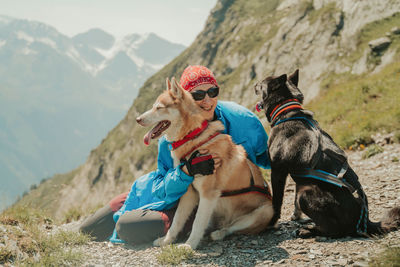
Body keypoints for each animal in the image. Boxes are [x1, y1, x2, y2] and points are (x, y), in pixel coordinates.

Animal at [255, 69, 400, 239]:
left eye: (260, 83)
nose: (254, 84)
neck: (287, 111)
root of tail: (364, 219)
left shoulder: (278, 171)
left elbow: (277, 201)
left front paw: (271, 222)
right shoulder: (299, 178)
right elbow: (294, 202)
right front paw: (296, 216)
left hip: (307, 193)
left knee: (334, 230)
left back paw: (308, 230)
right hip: (305, 187)